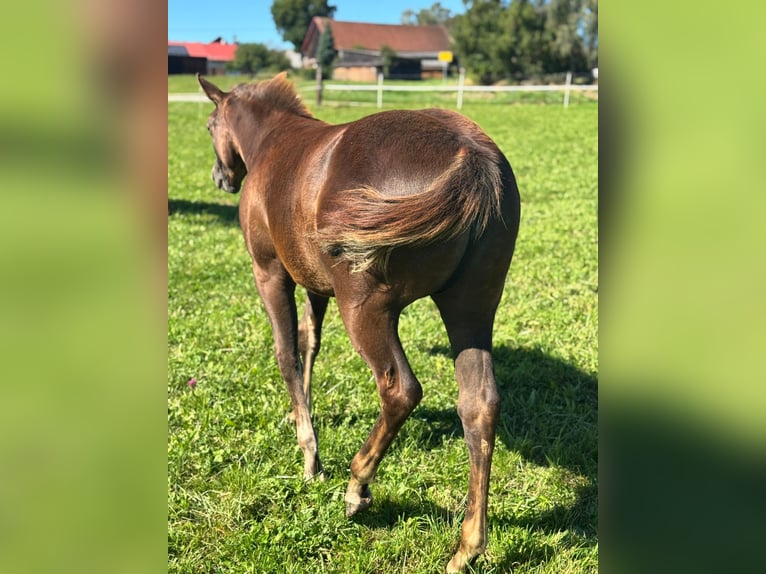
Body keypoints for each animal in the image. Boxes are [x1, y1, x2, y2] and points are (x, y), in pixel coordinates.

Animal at [197, 72, 520, 572]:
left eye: (212, 125)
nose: (221, 177)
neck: (274, 141)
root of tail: (471, 158)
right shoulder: (313, 283)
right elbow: (310, 343)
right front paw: (303, 413)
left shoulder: (270, 272)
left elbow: (286, 353)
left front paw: (310, 454)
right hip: (471, 307)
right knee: (479, 404)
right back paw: (467, 547)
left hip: (365, 307)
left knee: (400, 389)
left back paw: (357, 485)